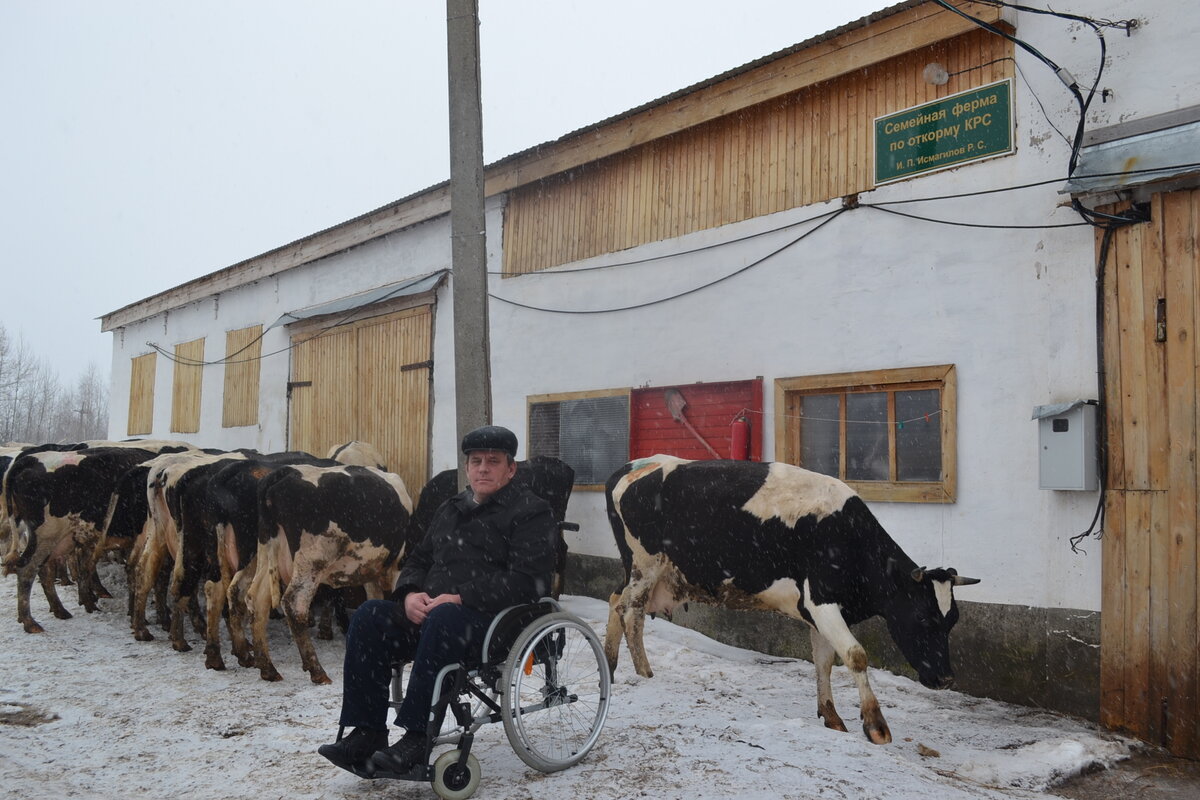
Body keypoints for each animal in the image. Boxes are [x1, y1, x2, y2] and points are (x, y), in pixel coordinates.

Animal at [604, 455, 979, 743]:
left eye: (952, 621)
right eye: (923, 617)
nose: (946, 679)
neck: (848, 536)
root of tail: (635, 465)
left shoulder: (820, 611)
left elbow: (825, 661)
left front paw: (832, 716)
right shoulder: (821, 600)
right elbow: (856, 655)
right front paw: (875, 725)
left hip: (646, 571)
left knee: (614, 600)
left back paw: (610, 663)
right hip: (645, 565)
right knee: (631, 611)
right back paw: (645, 674)